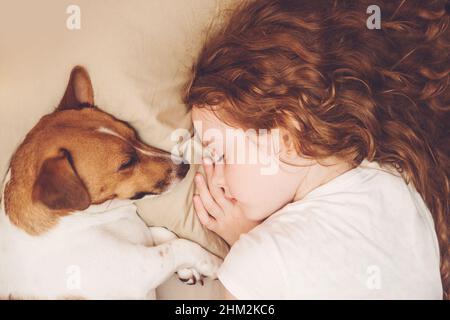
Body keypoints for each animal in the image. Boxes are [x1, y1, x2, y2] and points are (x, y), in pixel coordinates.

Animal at [0, 66, 221, 298]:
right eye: (126, 163)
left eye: (135, 134)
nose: (185, 166)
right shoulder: (139, 269)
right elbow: (181, 246)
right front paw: (217, 265)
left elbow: (163, 233)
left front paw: (188, 270)